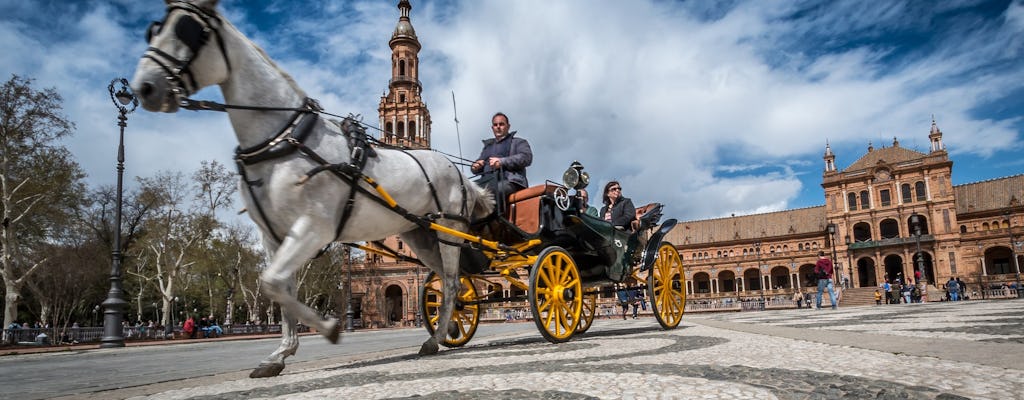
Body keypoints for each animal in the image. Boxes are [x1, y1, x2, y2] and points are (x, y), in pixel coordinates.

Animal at [131, 0, 491, 378]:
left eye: (186, 29)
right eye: (154, 29)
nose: (145, 86)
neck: (284, 139)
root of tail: (458, 175)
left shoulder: (313, 227)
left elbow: (274, 284)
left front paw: (327, 328)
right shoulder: (274, 237)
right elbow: (278, 287)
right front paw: (281, 353)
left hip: (448, 230)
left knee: (450, 281)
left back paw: (434, 339)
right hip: (420, 236)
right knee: (450, 281)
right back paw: (444, 331)